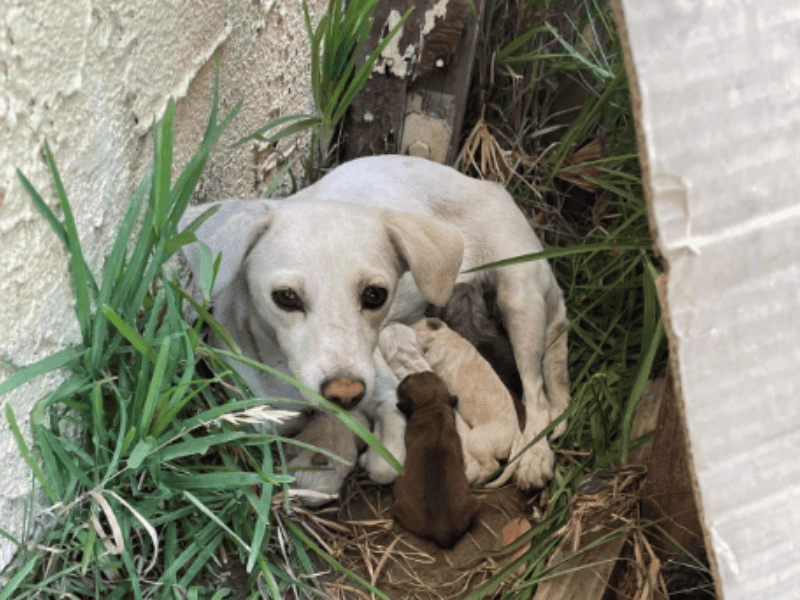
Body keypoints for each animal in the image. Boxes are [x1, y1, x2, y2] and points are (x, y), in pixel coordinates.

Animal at [412, 318, 524, 488]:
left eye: (413, 325)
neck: (445, 336)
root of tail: (517, 433)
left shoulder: (434, 357)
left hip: (477, 440)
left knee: (493, 465)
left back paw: (478, 481)